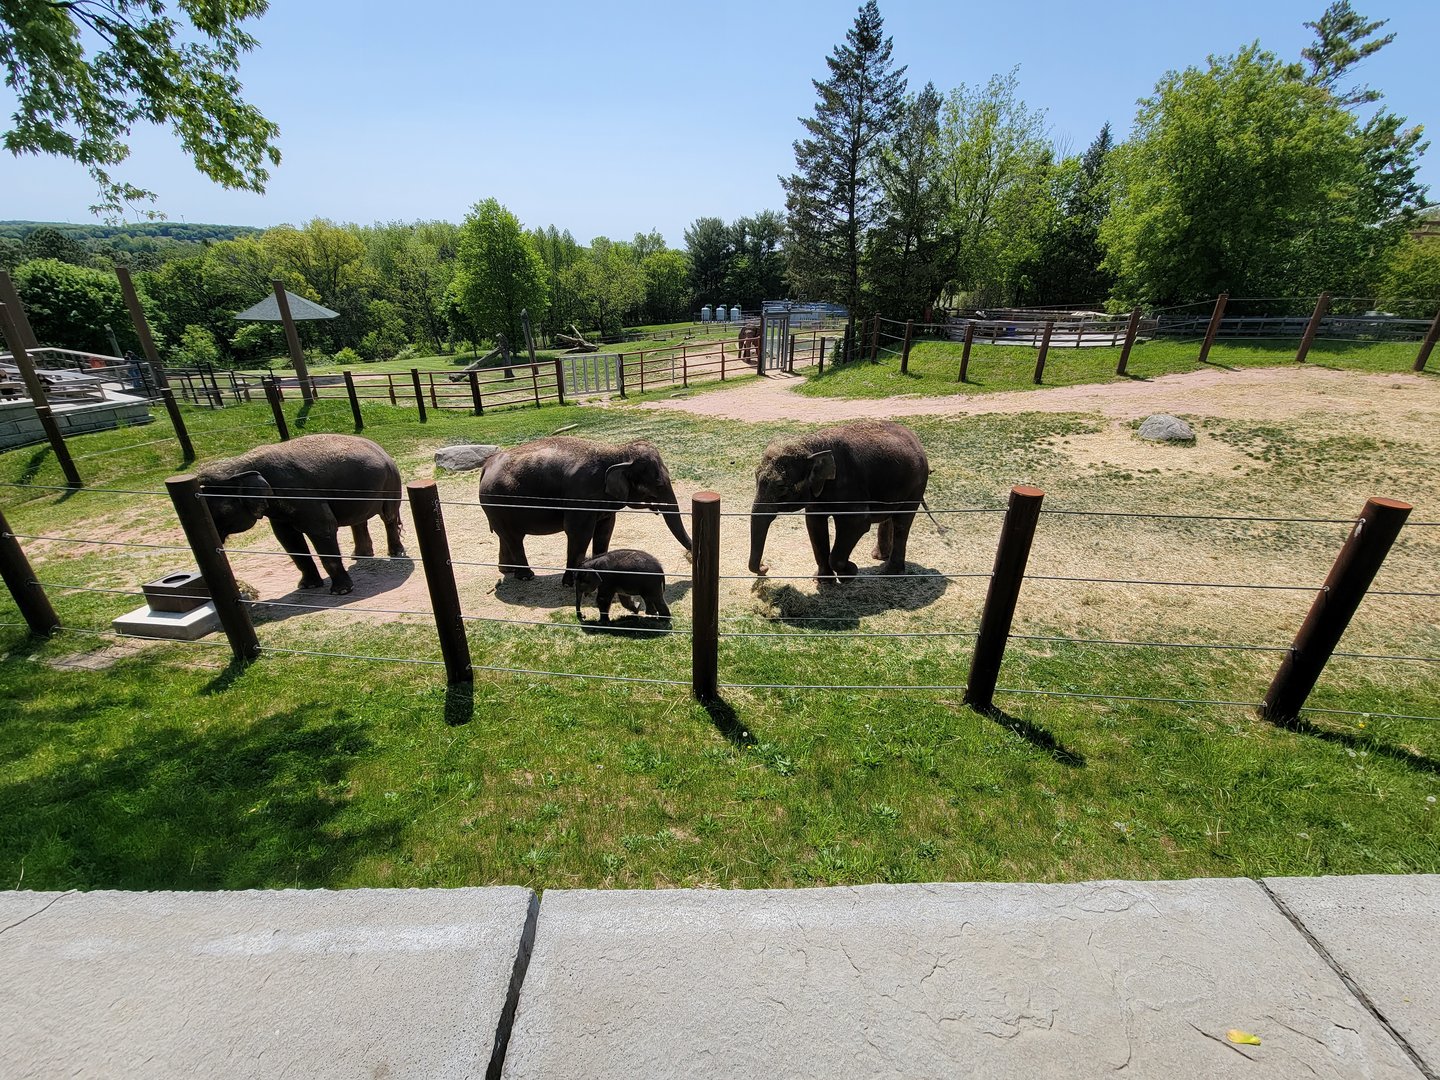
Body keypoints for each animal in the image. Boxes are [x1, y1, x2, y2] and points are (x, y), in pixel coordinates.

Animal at [197, 433, 406, 595]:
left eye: (216, 512)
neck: (239, 465)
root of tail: (381, 449)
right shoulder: (278, 507)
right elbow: (287, 537)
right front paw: (308, 586)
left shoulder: (299, 492)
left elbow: (323, 528)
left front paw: (341, 592)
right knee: (360, 519)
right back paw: (360, 557)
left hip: (391, 482)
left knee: (388, 516)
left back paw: (395, 553)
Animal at [477, 437, 692, 584]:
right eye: (659, 484)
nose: (689, 557)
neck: (618, 452)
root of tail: (485, 467)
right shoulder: (581, 495)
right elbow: (579, 532)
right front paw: (570, 583)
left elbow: (605, 530)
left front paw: (602, 572)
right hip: (497, 502)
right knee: (514, 538)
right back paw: (526, 577)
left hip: (496, 507)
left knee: (505, 536)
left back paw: (507, 571)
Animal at [748, 419, 930, 583]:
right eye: (755, 476)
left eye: (781, 486)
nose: (765, 567)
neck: (812, 445)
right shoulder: (817, 496)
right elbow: (814, 524)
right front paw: (823, 580)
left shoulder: (849, 486)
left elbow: (857, 523)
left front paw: (850, 573)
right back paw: (879, 556)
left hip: (917, 485)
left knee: (902, 521)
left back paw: (890, 573)